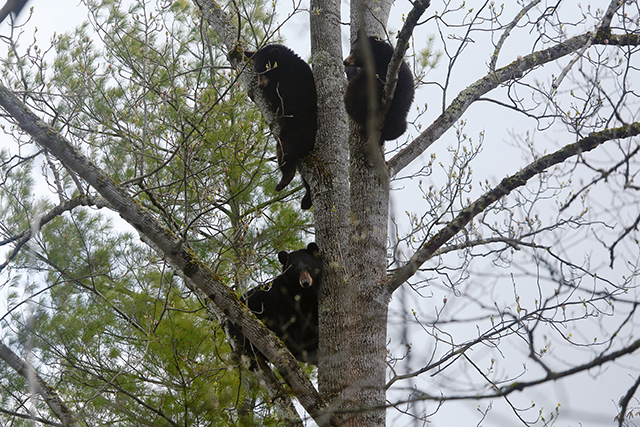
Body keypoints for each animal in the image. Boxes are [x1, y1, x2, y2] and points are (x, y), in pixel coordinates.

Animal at [244, 44, 316, 209]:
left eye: (264, 69)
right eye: (256, 70)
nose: (259, 85)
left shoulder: (288, 83)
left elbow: (274, 98)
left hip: (294, 130)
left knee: (285, 151)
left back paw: (285, 179)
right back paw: (306, 199)